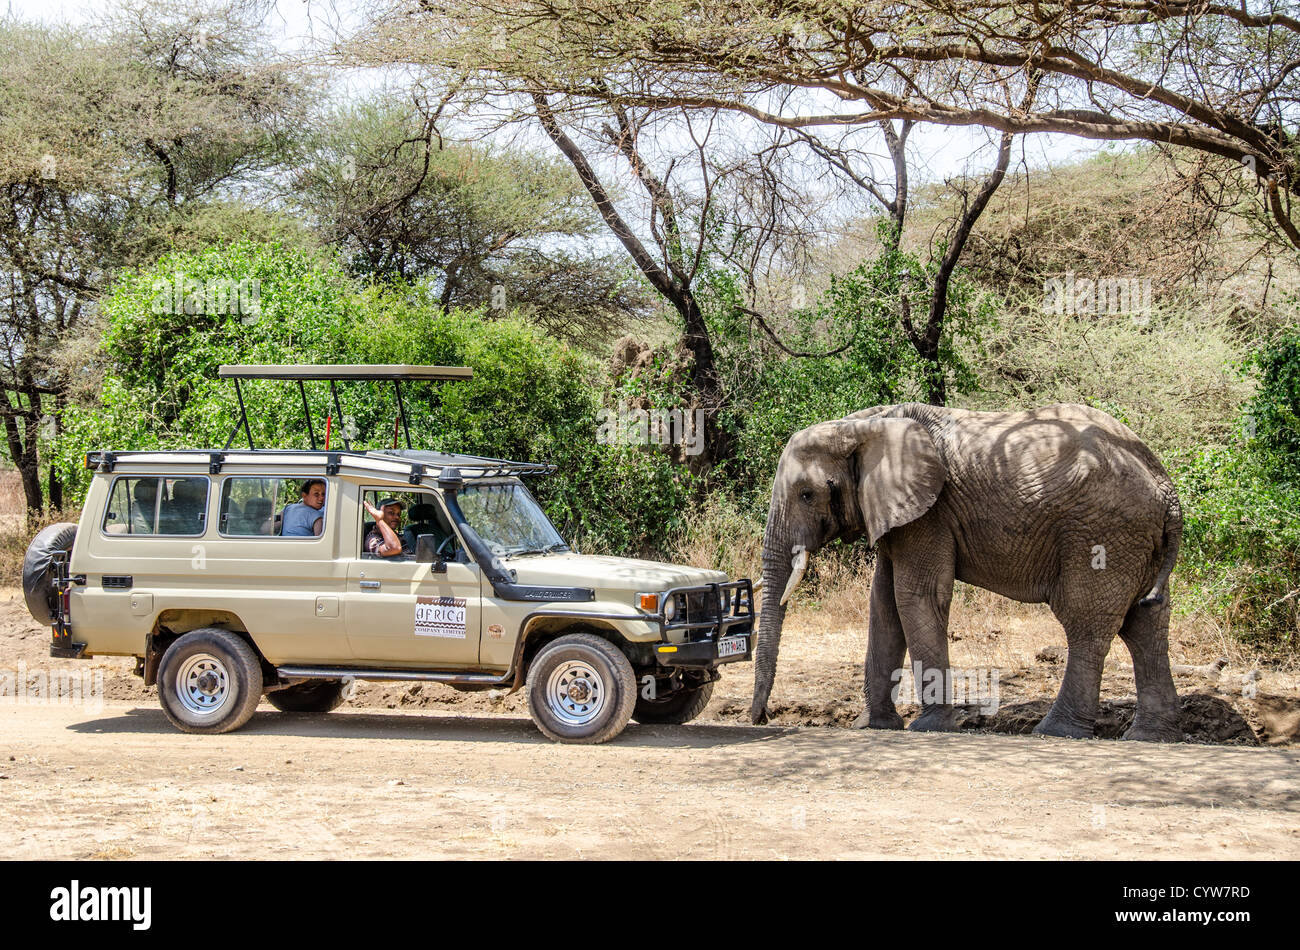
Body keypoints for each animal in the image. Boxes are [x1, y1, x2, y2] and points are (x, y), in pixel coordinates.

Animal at [748, 402, 1183, 742]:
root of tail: (1167, 490)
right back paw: (1150, 736)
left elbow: (916, 595)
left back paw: (1056, 731)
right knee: (1145, 622)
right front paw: (872, 726)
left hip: (1102, 534)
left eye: (807, 494)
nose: (760, 718)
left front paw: (929, 727)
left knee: (1086, 622)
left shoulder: (931, 514)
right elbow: (884, 604)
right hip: (1136, 541)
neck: (861, 426)